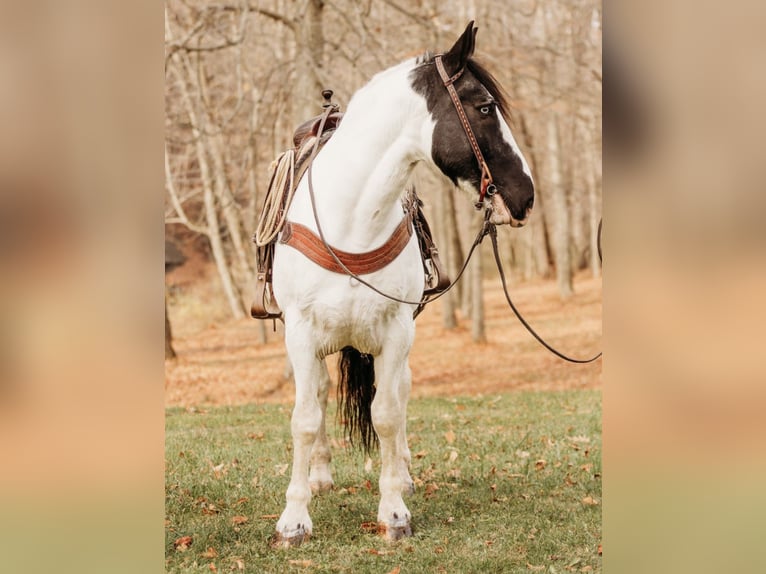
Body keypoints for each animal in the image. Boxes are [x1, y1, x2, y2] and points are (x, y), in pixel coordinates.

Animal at [270, 19, 536, 548]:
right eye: (484, 107)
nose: (526, 195)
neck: (350, 221)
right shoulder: (301, 333)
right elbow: (305, 418)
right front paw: (294, 519)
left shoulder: (396, 330)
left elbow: (388, 414)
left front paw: (394, 511)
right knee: (321, 396)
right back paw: (320, 475)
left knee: (401, 393)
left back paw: (405, 472)